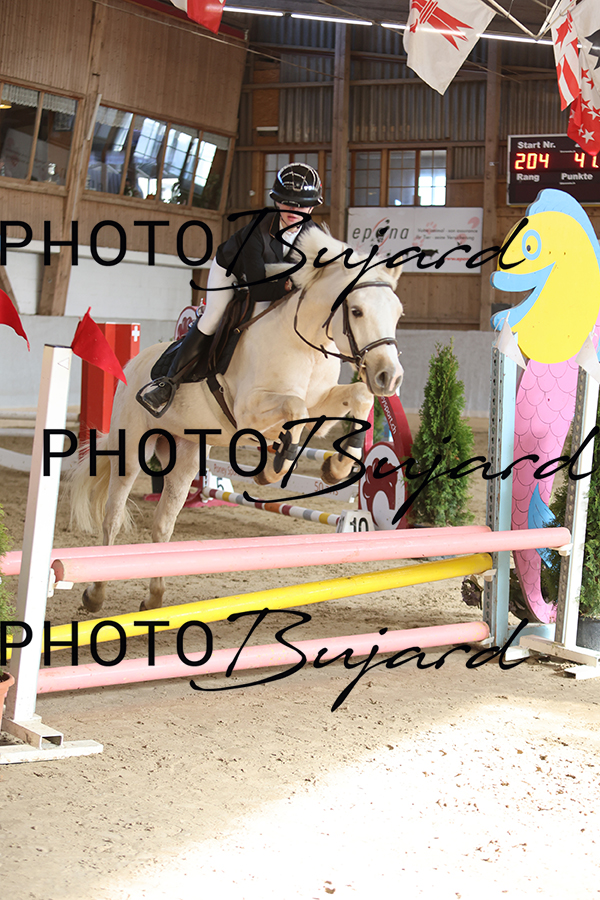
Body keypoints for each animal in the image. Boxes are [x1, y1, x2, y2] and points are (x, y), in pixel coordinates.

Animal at [69, 226, 404, 612]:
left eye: (398, 313)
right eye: (357, 311)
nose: (389, 377)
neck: (305, 344)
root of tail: (132, 366)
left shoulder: (321, 403)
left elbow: (354, 399)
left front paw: (334, 466)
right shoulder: (249, 409)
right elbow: (295, 410)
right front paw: (274, 468)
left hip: (185, 457)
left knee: (163, 523)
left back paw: (154, 598)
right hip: (131, 451)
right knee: (112, 515)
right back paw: (95, 594)